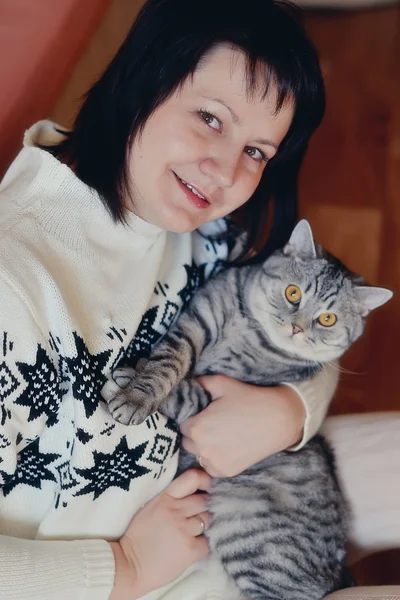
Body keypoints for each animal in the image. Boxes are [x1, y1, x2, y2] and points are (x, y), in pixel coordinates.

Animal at [101, 221, 392, 600]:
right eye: (294, 293)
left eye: (327, 319)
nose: (297, 327)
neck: (247, 331)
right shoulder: (195, 323)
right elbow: (167, 364)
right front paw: (140, 385)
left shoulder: (213, 396)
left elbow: (185, 393)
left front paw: (129, 386)